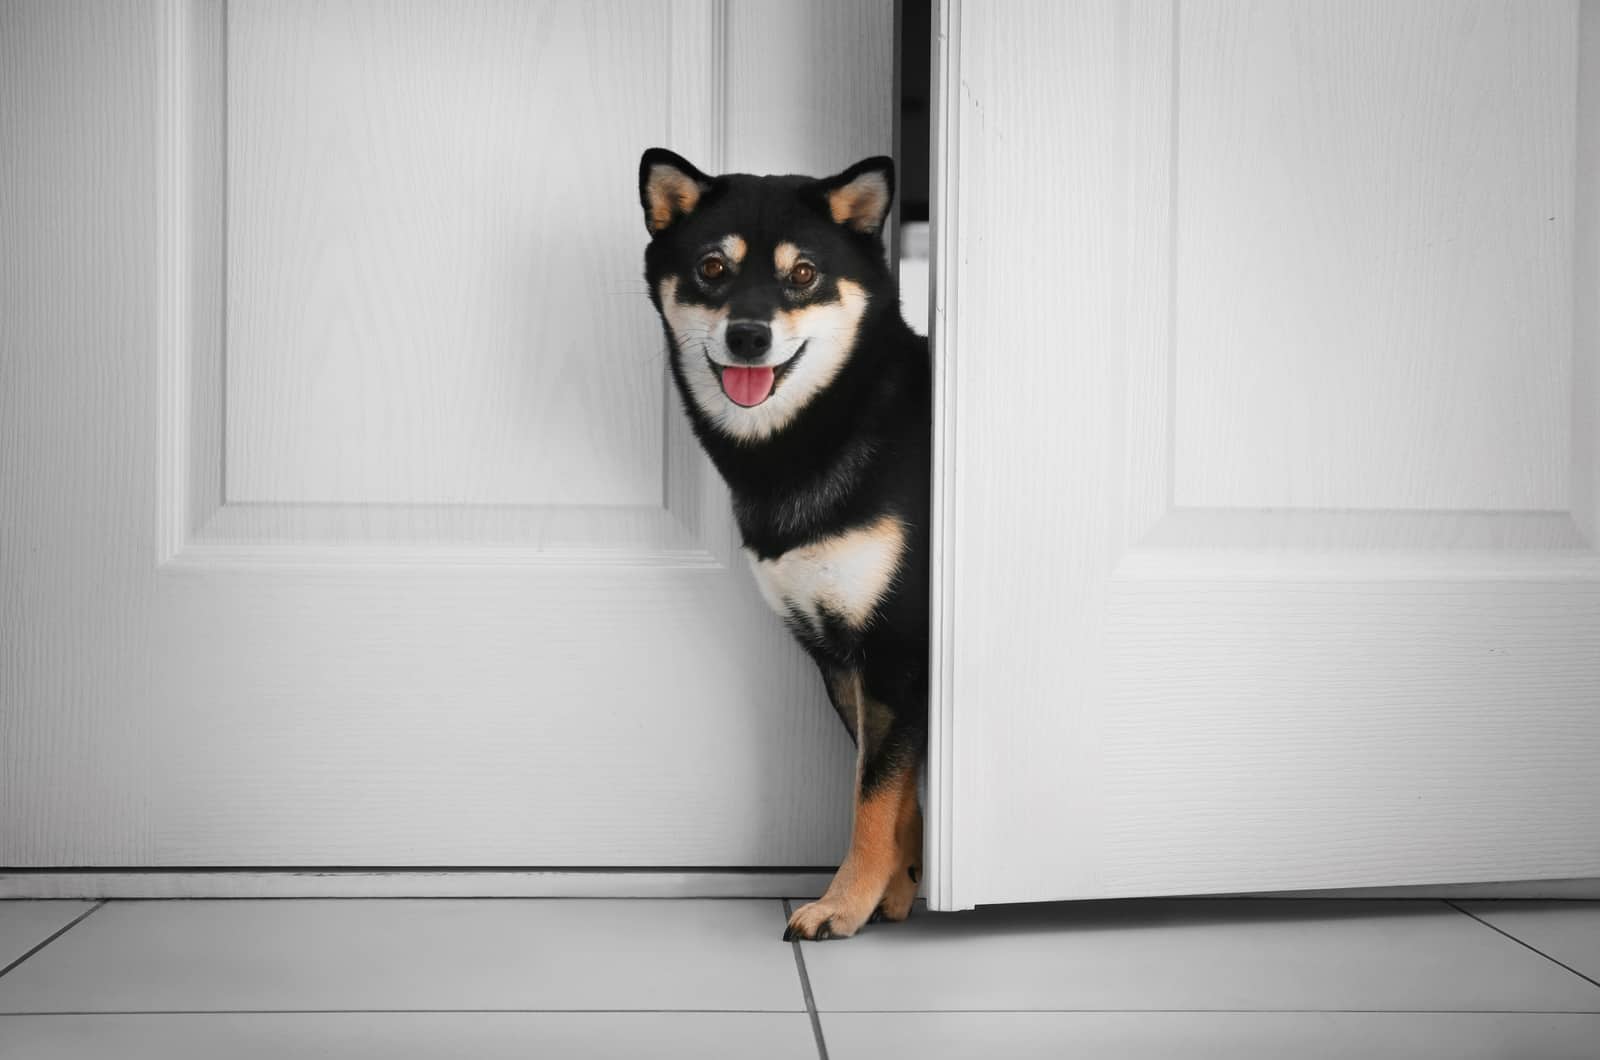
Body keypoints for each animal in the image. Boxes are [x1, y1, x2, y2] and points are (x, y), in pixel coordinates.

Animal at [636, 151, 934, 947]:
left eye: (803, 273)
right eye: (712, 267)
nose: (748, 336)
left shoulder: (894, 646)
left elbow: (872, 798)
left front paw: (843, 903)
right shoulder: (841, 655)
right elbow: (898, 793)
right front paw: (898, 887)